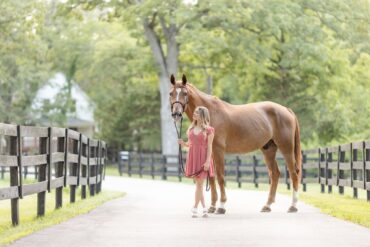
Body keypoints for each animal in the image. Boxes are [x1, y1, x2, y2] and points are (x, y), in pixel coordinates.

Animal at [169, 74, 302, 213]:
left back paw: (293, 206)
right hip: (269, 149)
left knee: (293, 173)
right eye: (170, 93)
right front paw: (212, 207)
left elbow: (220, 176)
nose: (176, 114)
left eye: (185, 93)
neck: (210, 113)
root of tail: (286, 110)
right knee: (275, 174)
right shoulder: (209, 152)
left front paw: (221, 206)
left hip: (286, 148)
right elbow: (211, 177)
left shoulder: (218, 150)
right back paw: (267, 205)